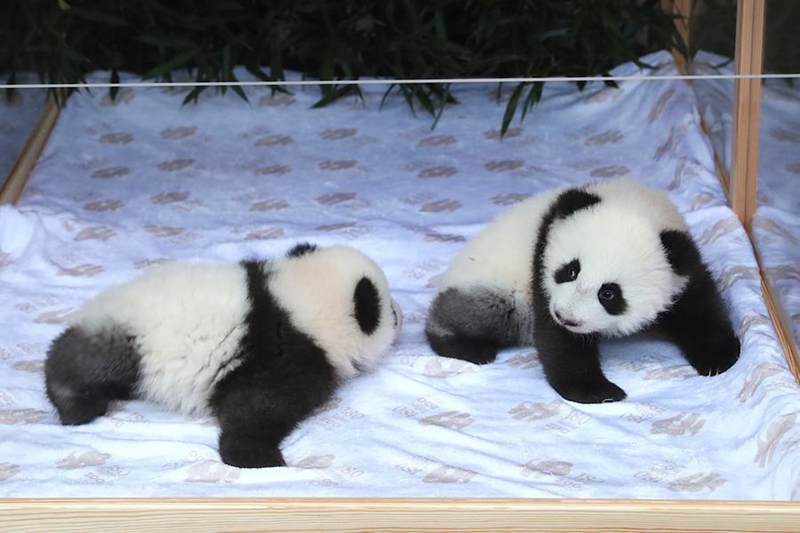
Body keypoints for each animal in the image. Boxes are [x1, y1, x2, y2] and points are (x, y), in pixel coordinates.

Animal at [45, 243, 403, 468]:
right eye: (390, 311)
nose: (402, 315)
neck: (298, 302)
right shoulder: (281, 356)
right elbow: (258, 407)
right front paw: (256, 457)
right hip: (130, 340)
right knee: (82, 364)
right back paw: (76, 405)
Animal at [425, 179, 740, 404]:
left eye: (609, 294)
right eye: (570, 270)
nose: (566, 317)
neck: (634, 200)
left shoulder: (681, 265)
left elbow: (698, 306)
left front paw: (719, 358)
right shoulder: (541, 263)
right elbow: (558, 339)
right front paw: (597, 391)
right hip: (496, 286)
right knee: (485, 312)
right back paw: (466, 346)